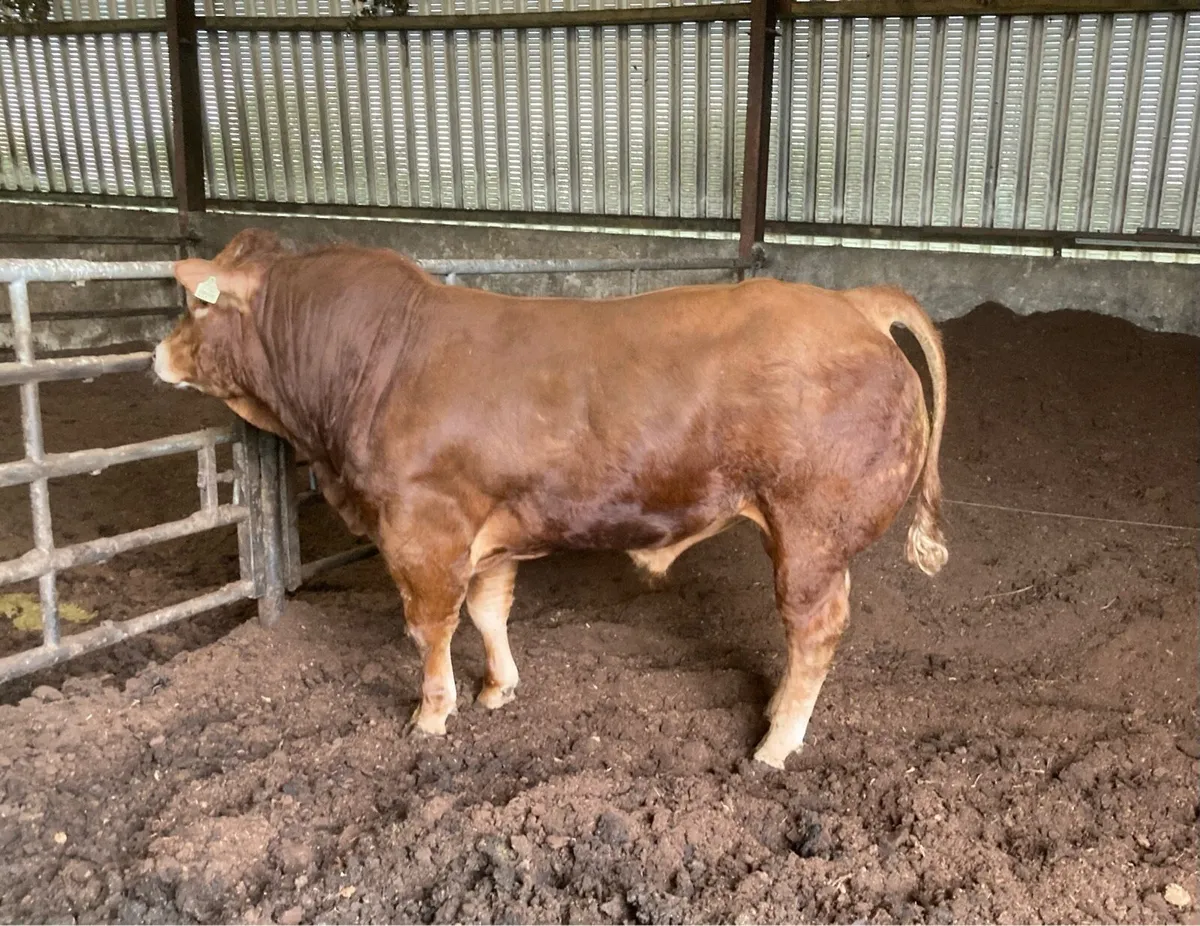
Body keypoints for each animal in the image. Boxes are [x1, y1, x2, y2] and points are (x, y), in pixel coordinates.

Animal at [153, 228, 948, 769]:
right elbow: (488, 610)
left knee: (813, 632)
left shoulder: (422, 528)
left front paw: (431, 715)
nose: (156, 353)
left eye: (195, 304)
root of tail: (853, 304)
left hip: (811, 530)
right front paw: (498, 689)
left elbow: (430, 627)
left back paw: (777, 741)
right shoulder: (490, 529)